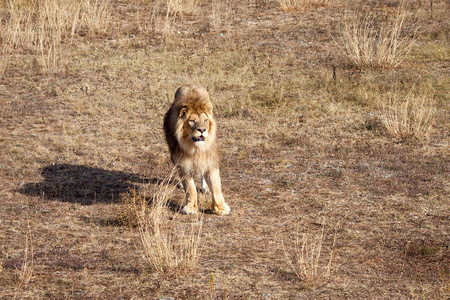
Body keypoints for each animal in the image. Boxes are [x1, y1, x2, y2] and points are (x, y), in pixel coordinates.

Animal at [163, 85, 230, 216]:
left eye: (205, 120)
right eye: (192, 121)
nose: (202, 130)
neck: (195, 148)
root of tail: (190, 85)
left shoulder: (210, 160)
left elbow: (216, 186)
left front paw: (220, 208)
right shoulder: (184, 164)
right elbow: (190, 189)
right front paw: (190, 207)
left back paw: (205, 188)